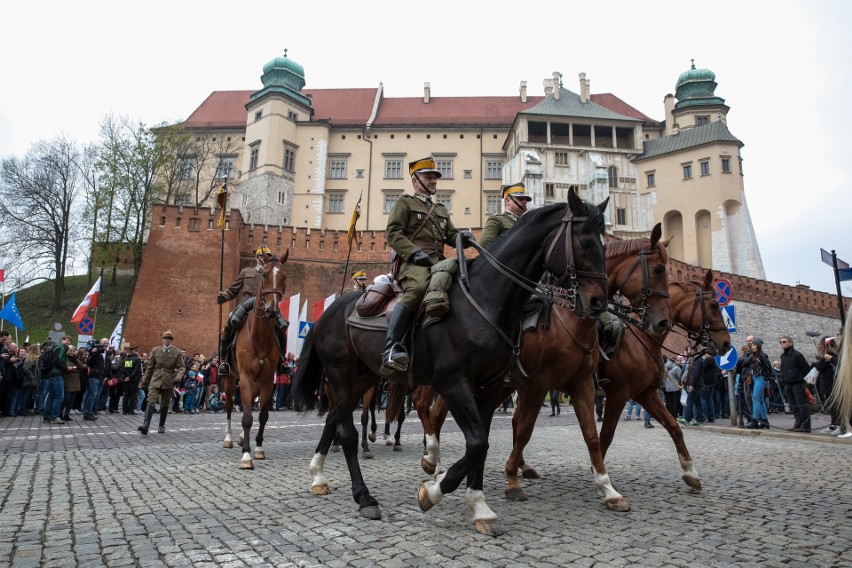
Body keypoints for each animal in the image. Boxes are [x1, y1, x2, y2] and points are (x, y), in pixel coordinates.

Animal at [223, 251, 290, 468]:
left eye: (284, 277)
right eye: (265, 275)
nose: (272, 310)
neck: (259, 338)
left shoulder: (268, 381)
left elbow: (262, 415)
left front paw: (258, 448)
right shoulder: (244, 378)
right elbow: (246, 418)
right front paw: (246, 456)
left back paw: (241, 438)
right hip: (230, 378)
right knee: (229, 407)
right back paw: (229, 438)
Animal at [290, 192, 608, 536]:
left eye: (605, 244)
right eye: (587, 242)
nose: (598, 302)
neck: (484, 299)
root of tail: (330, 310)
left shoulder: (489, 388)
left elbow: (480, 443)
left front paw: (478, 505)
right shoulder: (454, 383)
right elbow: (478, 443)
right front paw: (433, 490)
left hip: (363, 378)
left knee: (333, 419)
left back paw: (318, 475)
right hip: (341, 375)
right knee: (346, 431)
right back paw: (364, 496)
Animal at [416, 226, 676, 502]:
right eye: (659, 269)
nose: (663, 321)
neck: (570, 319)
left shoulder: (589, 385)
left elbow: (593, 435)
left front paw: (607, 486)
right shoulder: (543, 384)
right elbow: (526, 429)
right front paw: (512, 480)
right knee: (435, 411)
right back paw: (434, 462)